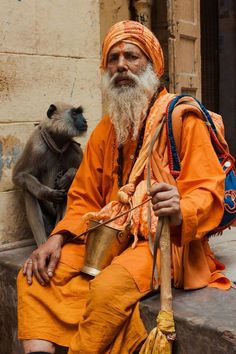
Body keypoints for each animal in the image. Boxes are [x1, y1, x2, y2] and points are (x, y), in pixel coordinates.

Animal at [12, 103, 87, 246]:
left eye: (80, 113)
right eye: (75, 113)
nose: (84, 121)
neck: (58, 143)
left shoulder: (74, 148)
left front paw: (67, 176)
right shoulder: (36, 144)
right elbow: (18, 175)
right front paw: (47, 193)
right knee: (28, 190)